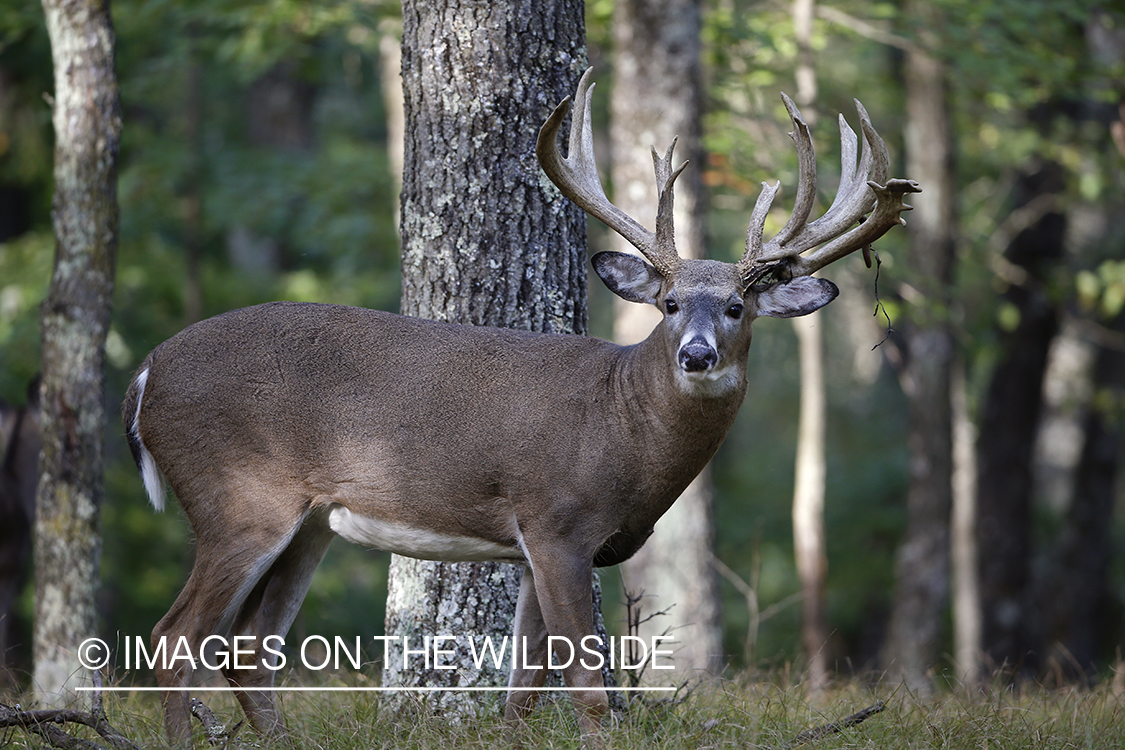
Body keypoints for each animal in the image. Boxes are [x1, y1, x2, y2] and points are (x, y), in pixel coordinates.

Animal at [123, 68, 913, 746]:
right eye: (667, 303)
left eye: (737, 307)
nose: (695, 355)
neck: (623, 428)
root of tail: (144, 374)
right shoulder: (556, 519)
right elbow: (585, 685)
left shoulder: (539, 544)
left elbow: (523, 689)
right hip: (237, 494)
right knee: (174, 636)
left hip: (310, 522)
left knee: (249, 645)